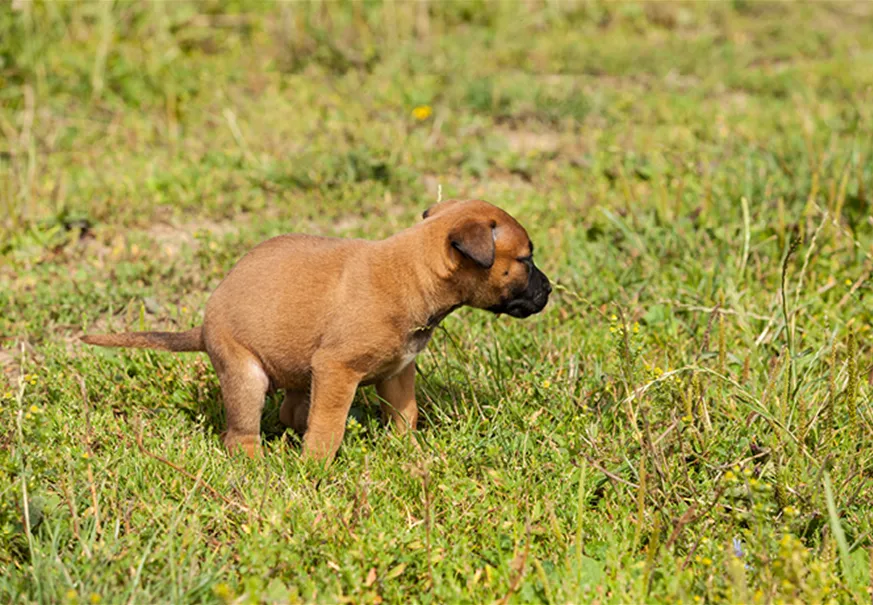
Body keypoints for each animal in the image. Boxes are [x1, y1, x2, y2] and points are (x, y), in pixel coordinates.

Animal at [78, 199, 548, 462]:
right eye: (525, 260)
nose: (548, 290)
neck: (411, 273)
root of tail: (206, 324)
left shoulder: (398, 374)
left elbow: (405, 416)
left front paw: (410, 454)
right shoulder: (336, 369)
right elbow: (328, 427)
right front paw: (315, 470)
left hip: (298, 373)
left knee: (291, 413)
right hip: (245, 376)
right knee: (240, 435)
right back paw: (258, 466)